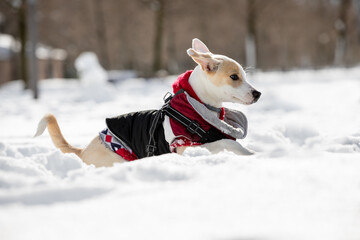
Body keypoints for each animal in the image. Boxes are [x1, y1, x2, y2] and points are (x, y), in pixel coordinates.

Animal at [34, 39, 262, 167]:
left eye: (243, 75)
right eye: (234, 77)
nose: (258, 93)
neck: (196, 108)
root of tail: (83, 151)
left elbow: (226, 142)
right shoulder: (183, 145)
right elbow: (228, 142)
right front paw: (251, 154)